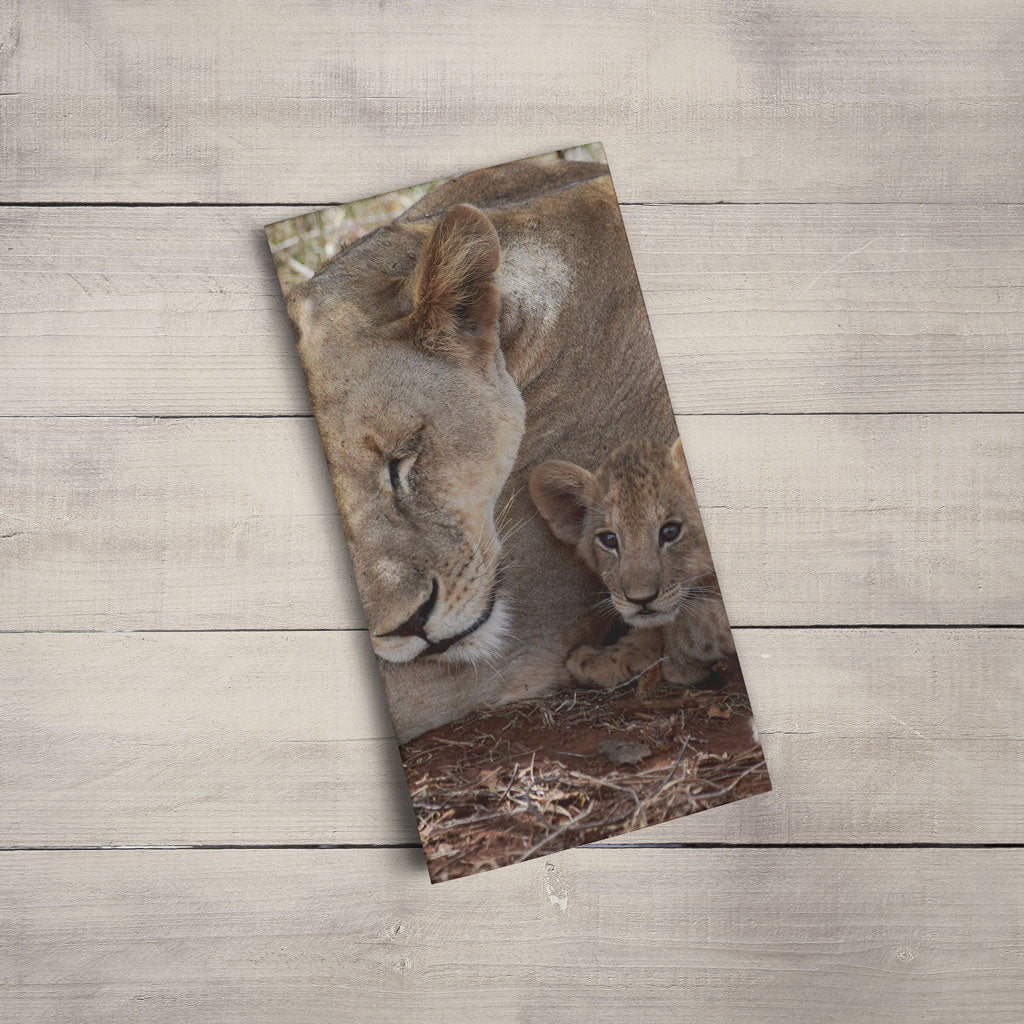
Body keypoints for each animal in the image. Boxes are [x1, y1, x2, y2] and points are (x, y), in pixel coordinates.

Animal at [530, 437, 734, 689]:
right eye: (609, 539)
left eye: (670, 531)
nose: (641, 600)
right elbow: (659, 626)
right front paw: (604, 660)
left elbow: (690, 627)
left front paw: (679, 668)